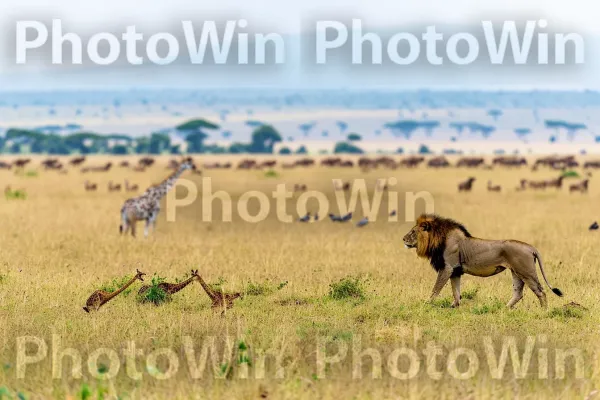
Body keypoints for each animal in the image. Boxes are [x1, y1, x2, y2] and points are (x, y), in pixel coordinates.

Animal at [404, 214, 564, 308]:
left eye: (413, 232)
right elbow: (456, 291)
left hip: (526, 272)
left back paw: (543, 311)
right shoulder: (455, 271)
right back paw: (505, 309)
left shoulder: (447, 268)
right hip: (516, 272)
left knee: (540, 291)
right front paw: (454, 306)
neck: (439, 239)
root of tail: (531, 247)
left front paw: (427, 304)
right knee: (518, 293)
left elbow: (436, 289)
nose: (403, 239)